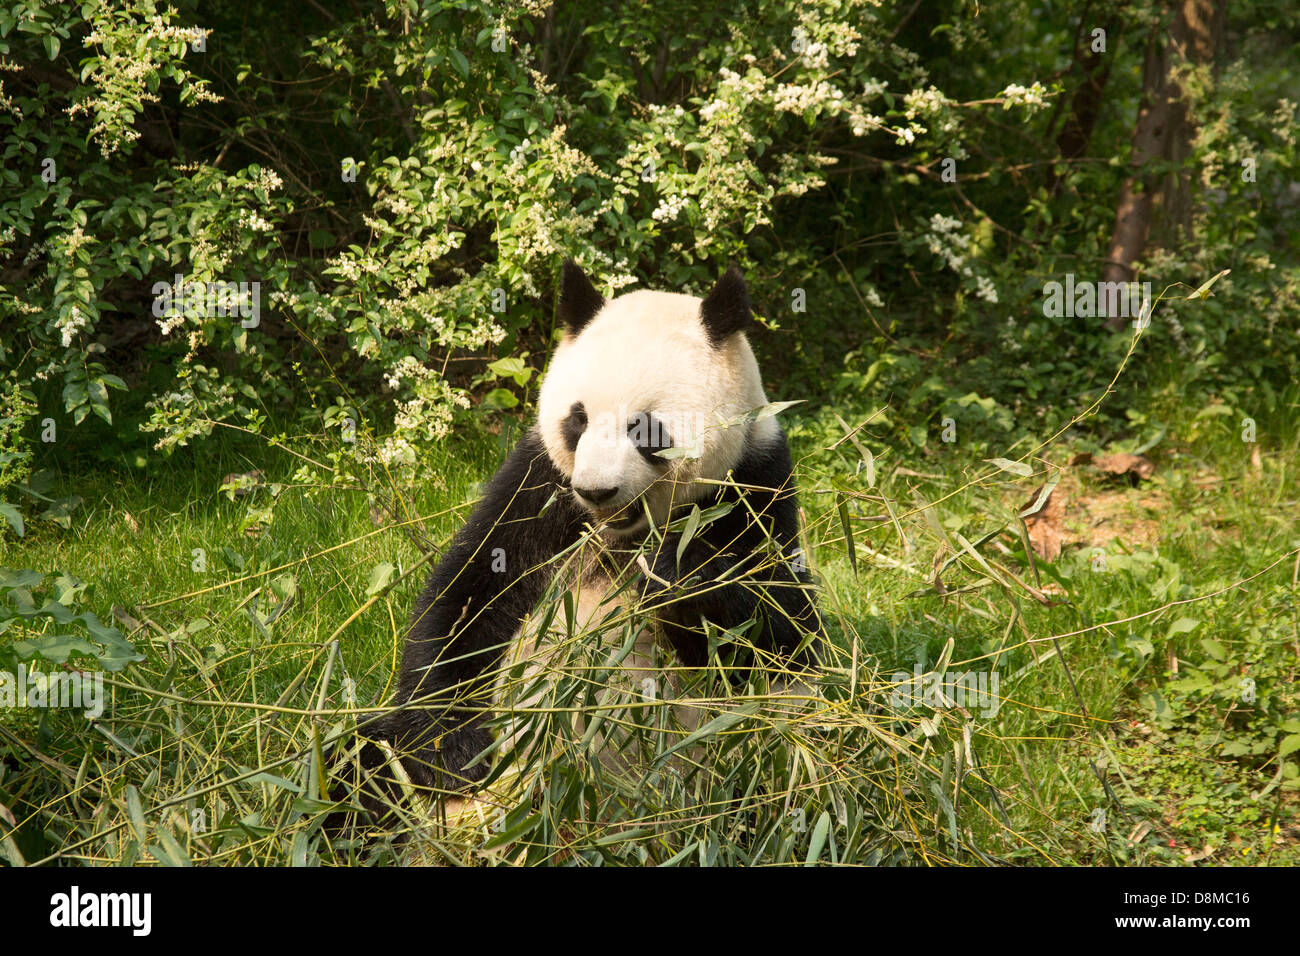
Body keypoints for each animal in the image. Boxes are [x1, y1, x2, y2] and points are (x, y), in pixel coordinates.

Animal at [353, 261, 821, 816]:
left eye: (645, 430)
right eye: (577, 420)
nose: (597, 491)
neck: (624, 534)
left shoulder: (755, 486)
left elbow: (776, 632)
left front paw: (672, 572)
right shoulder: (541, 486)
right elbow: (470, 597)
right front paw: (454, 755)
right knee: (357, 760)